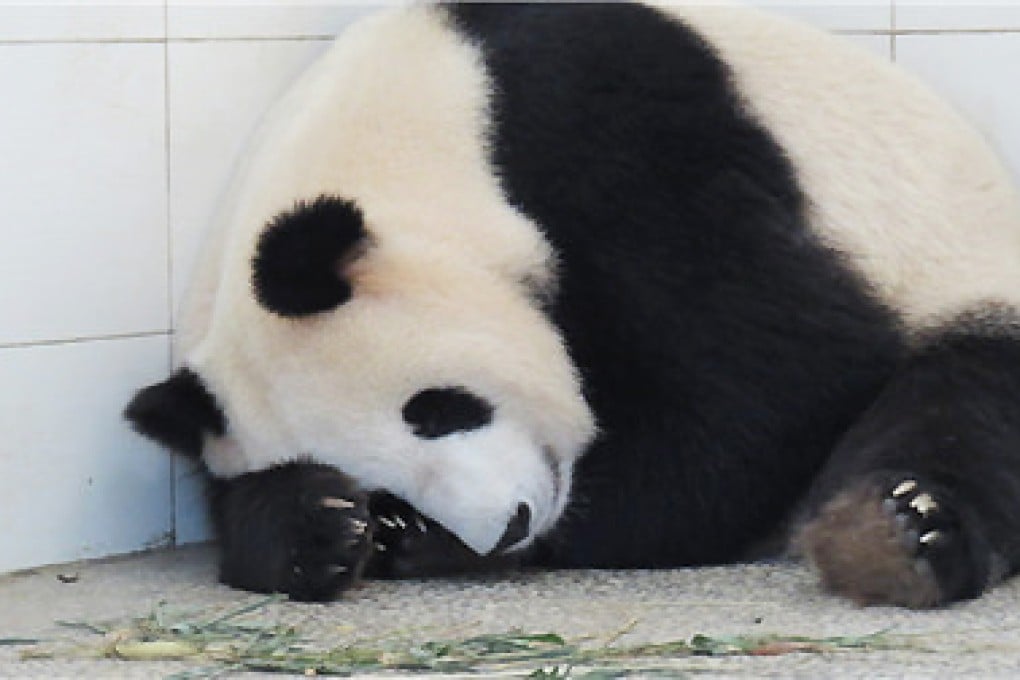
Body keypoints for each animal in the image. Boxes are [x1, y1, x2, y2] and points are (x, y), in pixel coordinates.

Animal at [123, 0, 1020, 607]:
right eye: (381, 483)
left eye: (436, 409)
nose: (507, 524)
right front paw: (326, 526)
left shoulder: (610, 133)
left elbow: (782, 368)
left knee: (966, 407)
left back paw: (891, 535)